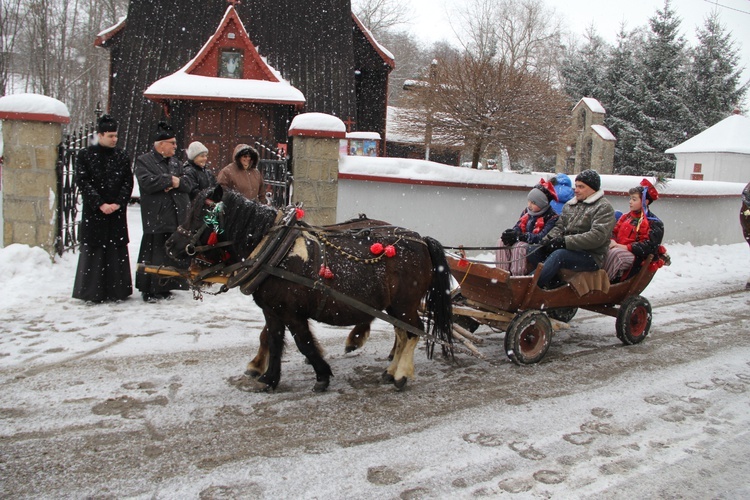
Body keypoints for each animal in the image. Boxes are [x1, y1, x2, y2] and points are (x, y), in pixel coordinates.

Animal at [167, 186, 456, 392]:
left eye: (200, 215)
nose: (171, 244)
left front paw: (322, 376)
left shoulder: (292, 312)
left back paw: (401, 374)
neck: (275, 251)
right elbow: (274, 340)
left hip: (404, 303)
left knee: (413, 331)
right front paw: (269, 378)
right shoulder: (272, 311)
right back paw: (389, 370)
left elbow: (303, 342)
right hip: (393, 306)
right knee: (402, 332)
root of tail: (420, 239)